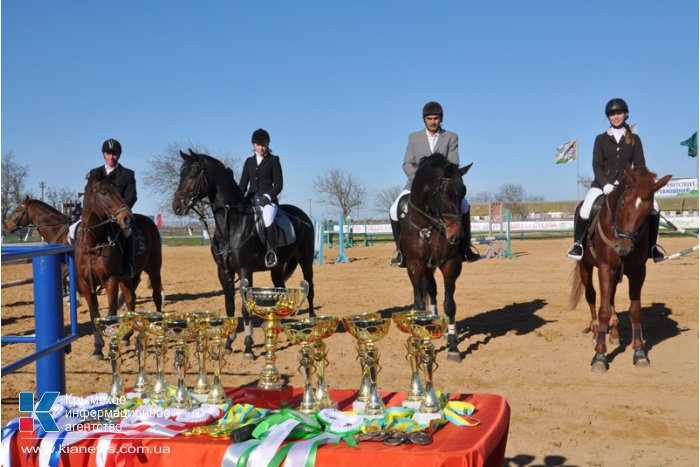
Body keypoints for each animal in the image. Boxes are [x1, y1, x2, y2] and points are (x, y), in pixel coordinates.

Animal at [76, 172, 164, 358]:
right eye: (103, 192)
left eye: (117, 190)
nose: (128, 218)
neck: (93, 244)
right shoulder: (85, 283)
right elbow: (94, 314)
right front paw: (98, 347)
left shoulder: (111, 279)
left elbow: (111, 311)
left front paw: (111, 345)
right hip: (126, 278)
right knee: (131, 298)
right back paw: (127, 336)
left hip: (153, 269)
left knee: (156, 296)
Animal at [171, 150, 316, 358]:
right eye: (181, 174)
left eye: (192, 175)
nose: (176, 206)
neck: (232, 224)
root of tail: (303, 216)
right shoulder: (224, 272)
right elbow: (230, 307)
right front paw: (229, 343)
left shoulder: (245, 271)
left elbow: (245, 309)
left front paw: (248, 346)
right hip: (277, 267)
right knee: (280, 291)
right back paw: (277, 327)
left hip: (305, 259)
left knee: (310, 287)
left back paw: (312, 320)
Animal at [402, 154, 474, 362]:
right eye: (443, 193)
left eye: (463, 191)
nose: (457, 236)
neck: (428, 225)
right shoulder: (414, 265)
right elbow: (419, 304)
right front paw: (420, 343)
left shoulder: (451, 264)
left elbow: (449, 305)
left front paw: (453, 347)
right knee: (428, 293)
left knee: (433, 292)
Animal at [568, 165, 672, 372]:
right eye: (623, 203)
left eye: (649, 211)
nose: (623, 247)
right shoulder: (605, 268)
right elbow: (603, 310)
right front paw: (600, 356)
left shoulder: (639, 271)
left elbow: (635, 310)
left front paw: (639, 352)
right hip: (585, 267)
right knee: (592, 296)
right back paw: (595, 333)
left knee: (611, 297)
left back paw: (614, 333)